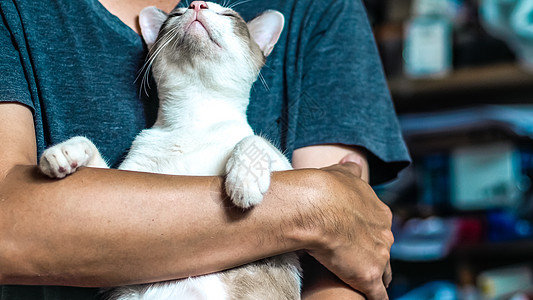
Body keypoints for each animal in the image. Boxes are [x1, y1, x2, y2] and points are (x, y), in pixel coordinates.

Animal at [39, 1, 302, 298]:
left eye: (228, 15)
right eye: (177, 14)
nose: (197, 4)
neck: (194, 119)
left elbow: (254, 141)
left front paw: (243, 181)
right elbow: (88, 144)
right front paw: (63, 152)